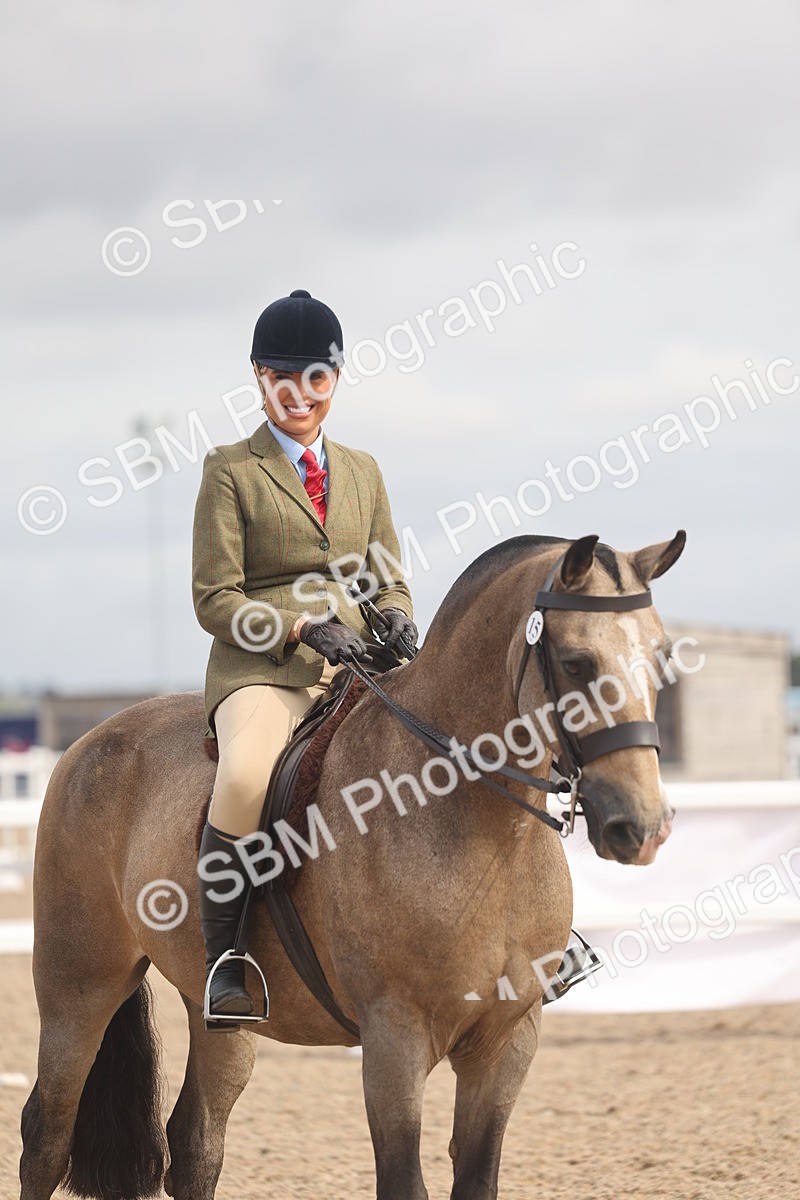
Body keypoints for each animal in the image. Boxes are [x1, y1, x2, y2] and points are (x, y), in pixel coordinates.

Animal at [19, 530, 685, 1200]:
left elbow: (477, 1176)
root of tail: (89, 741)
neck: (482, 834)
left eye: (661, 658)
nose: (642, 827)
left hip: (216, 1012)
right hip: (79, 985)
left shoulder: (507, 1041)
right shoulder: (394, 1039)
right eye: (576, 663)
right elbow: (402, 1177)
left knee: (195, 1140)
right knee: (46, 1134)